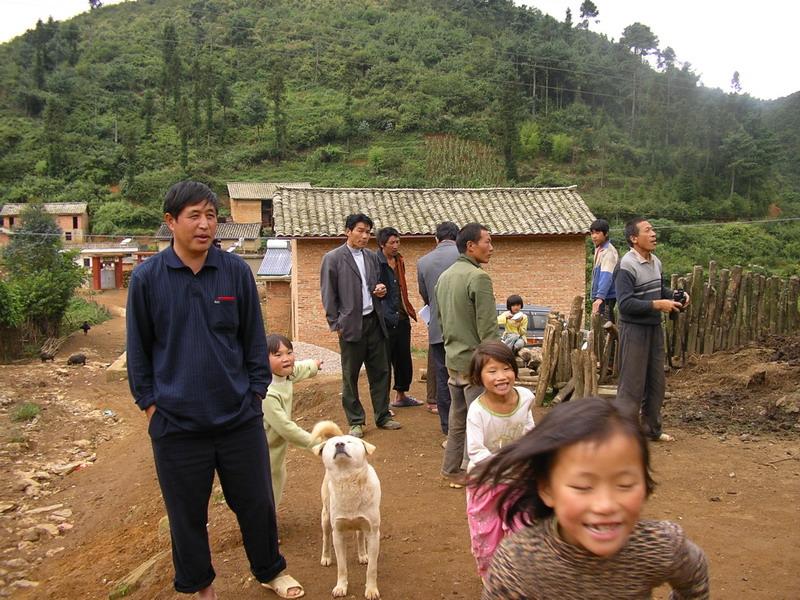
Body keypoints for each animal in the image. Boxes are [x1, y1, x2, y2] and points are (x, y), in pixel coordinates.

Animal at [312, 422, 382, 600]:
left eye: (350, 441)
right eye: (331, 445)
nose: (339, 444)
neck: (348, 479)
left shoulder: (373, 533)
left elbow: (372, 568)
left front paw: (371, 590)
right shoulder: (338, 533)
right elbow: (342, 567)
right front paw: (341, 587)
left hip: (362, 524)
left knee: (359, 536)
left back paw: (362, 555)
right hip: (325, 518)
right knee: (325, 538)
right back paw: (326, 557)